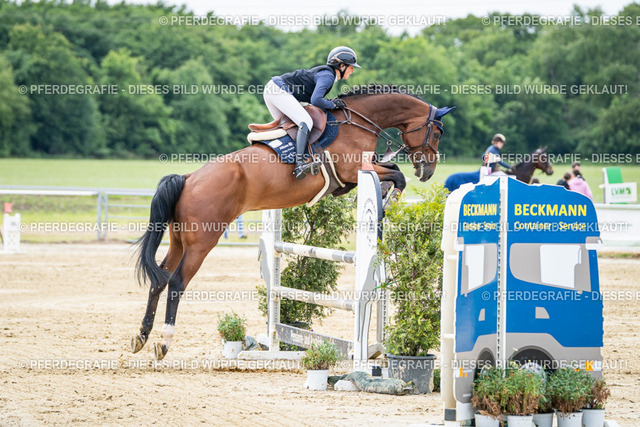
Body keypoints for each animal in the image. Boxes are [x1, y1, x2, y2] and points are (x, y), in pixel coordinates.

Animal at [130, 85, 454, 360]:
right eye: (438, 133)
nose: (427, 171)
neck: (358, 122)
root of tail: (188, 179)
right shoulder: (353, 170)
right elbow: (396, 174)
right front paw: (389, 199)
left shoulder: (351, 178)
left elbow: (392, 171)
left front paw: (386, 196)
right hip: (202, 242)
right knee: (176, 282)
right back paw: (163, 342)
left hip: (178, 240)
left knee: (159, 278)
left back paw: (142, 337)